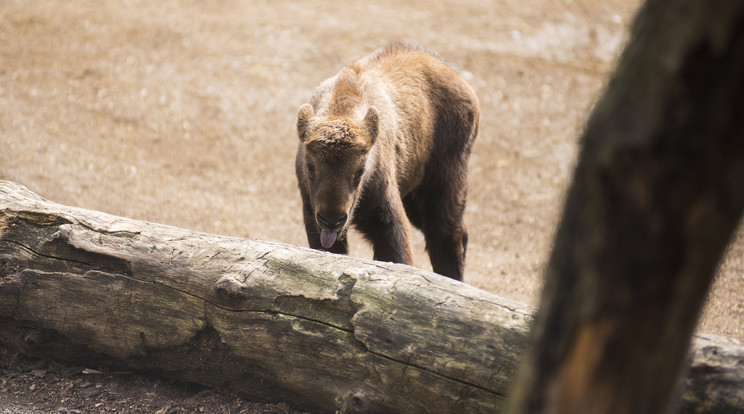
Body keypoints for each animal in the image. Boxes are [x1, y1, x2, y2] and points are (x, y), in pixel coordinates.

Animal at [296, 42, 482, 282]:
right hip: (414, 199)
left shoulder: (389, 221)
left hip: (444, 187)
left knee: (445, 238)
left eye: (361, 169)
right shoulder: (312, 216)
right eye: (310, 166)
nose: (332, 219)